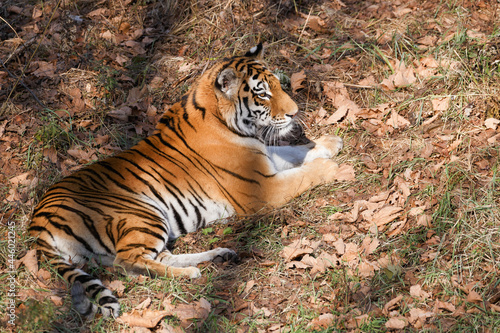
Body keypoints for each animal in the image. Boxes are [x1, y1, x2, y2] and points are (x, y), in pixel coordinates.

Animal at [28, 43, 344, 316]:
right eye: (263, 94)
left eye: (278, 85)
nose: (295, 112)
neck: (227, 122)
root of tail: (37, 221)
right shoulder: (262, 188)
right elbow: (302, 173)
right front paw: (335, 168)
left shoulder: (264, 160)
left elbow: (294, 152)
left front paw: (330, 142)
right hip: (142, 213)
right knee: (127, 261)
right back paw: (190, 272)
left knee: (152, 257)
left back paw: (219, 255)